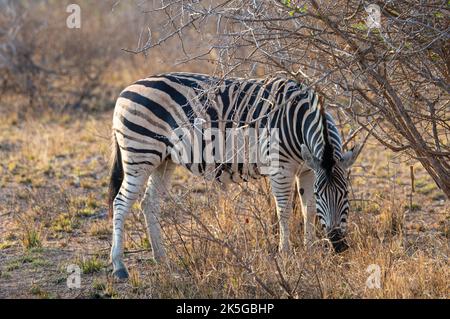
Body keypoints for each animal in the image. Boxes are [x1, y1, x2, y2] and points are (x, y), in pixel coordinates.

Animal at [110, 73, 362, 280]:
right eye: (322, 194)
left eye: (345, 193)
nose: (338, 245)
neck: (298, 120)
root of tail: (126, 89)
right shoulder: (280, 169)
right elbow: (284, 211)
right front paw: (287, 254)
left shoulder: (308, 169)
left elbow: (307, 209)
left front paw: (310, 252)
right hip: (140, 153)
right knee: (121, 202)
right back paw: (119, 266)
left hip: (164, 160)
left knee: (149, 203)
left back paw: (162, 259)